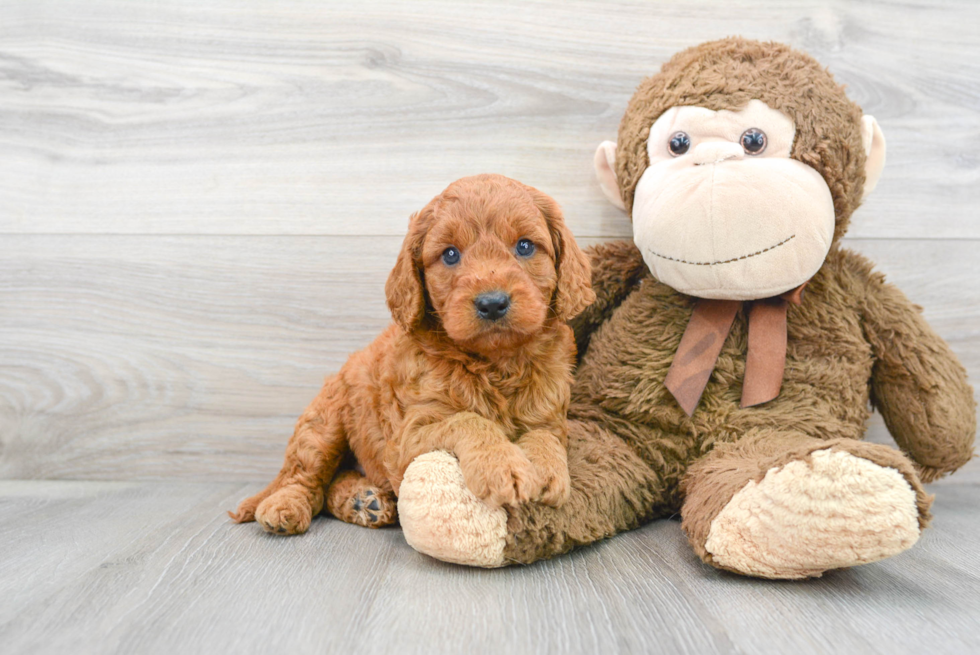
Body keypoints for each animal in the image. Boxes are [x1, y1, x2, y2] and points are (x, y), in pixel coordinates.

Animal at [230, 174, 592, 532]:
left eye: (525, 246)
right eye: (450, 254)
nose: (492, 303)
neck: (494, 363)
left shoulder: (551, 415)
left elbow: (545, 436)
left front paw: (545, 470)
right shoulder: (406, 439)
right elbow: (468, 419)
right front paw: (503, 466)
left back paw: (364, 501)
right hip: (324, 420)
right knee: (305, 473)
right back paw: (285, 506)